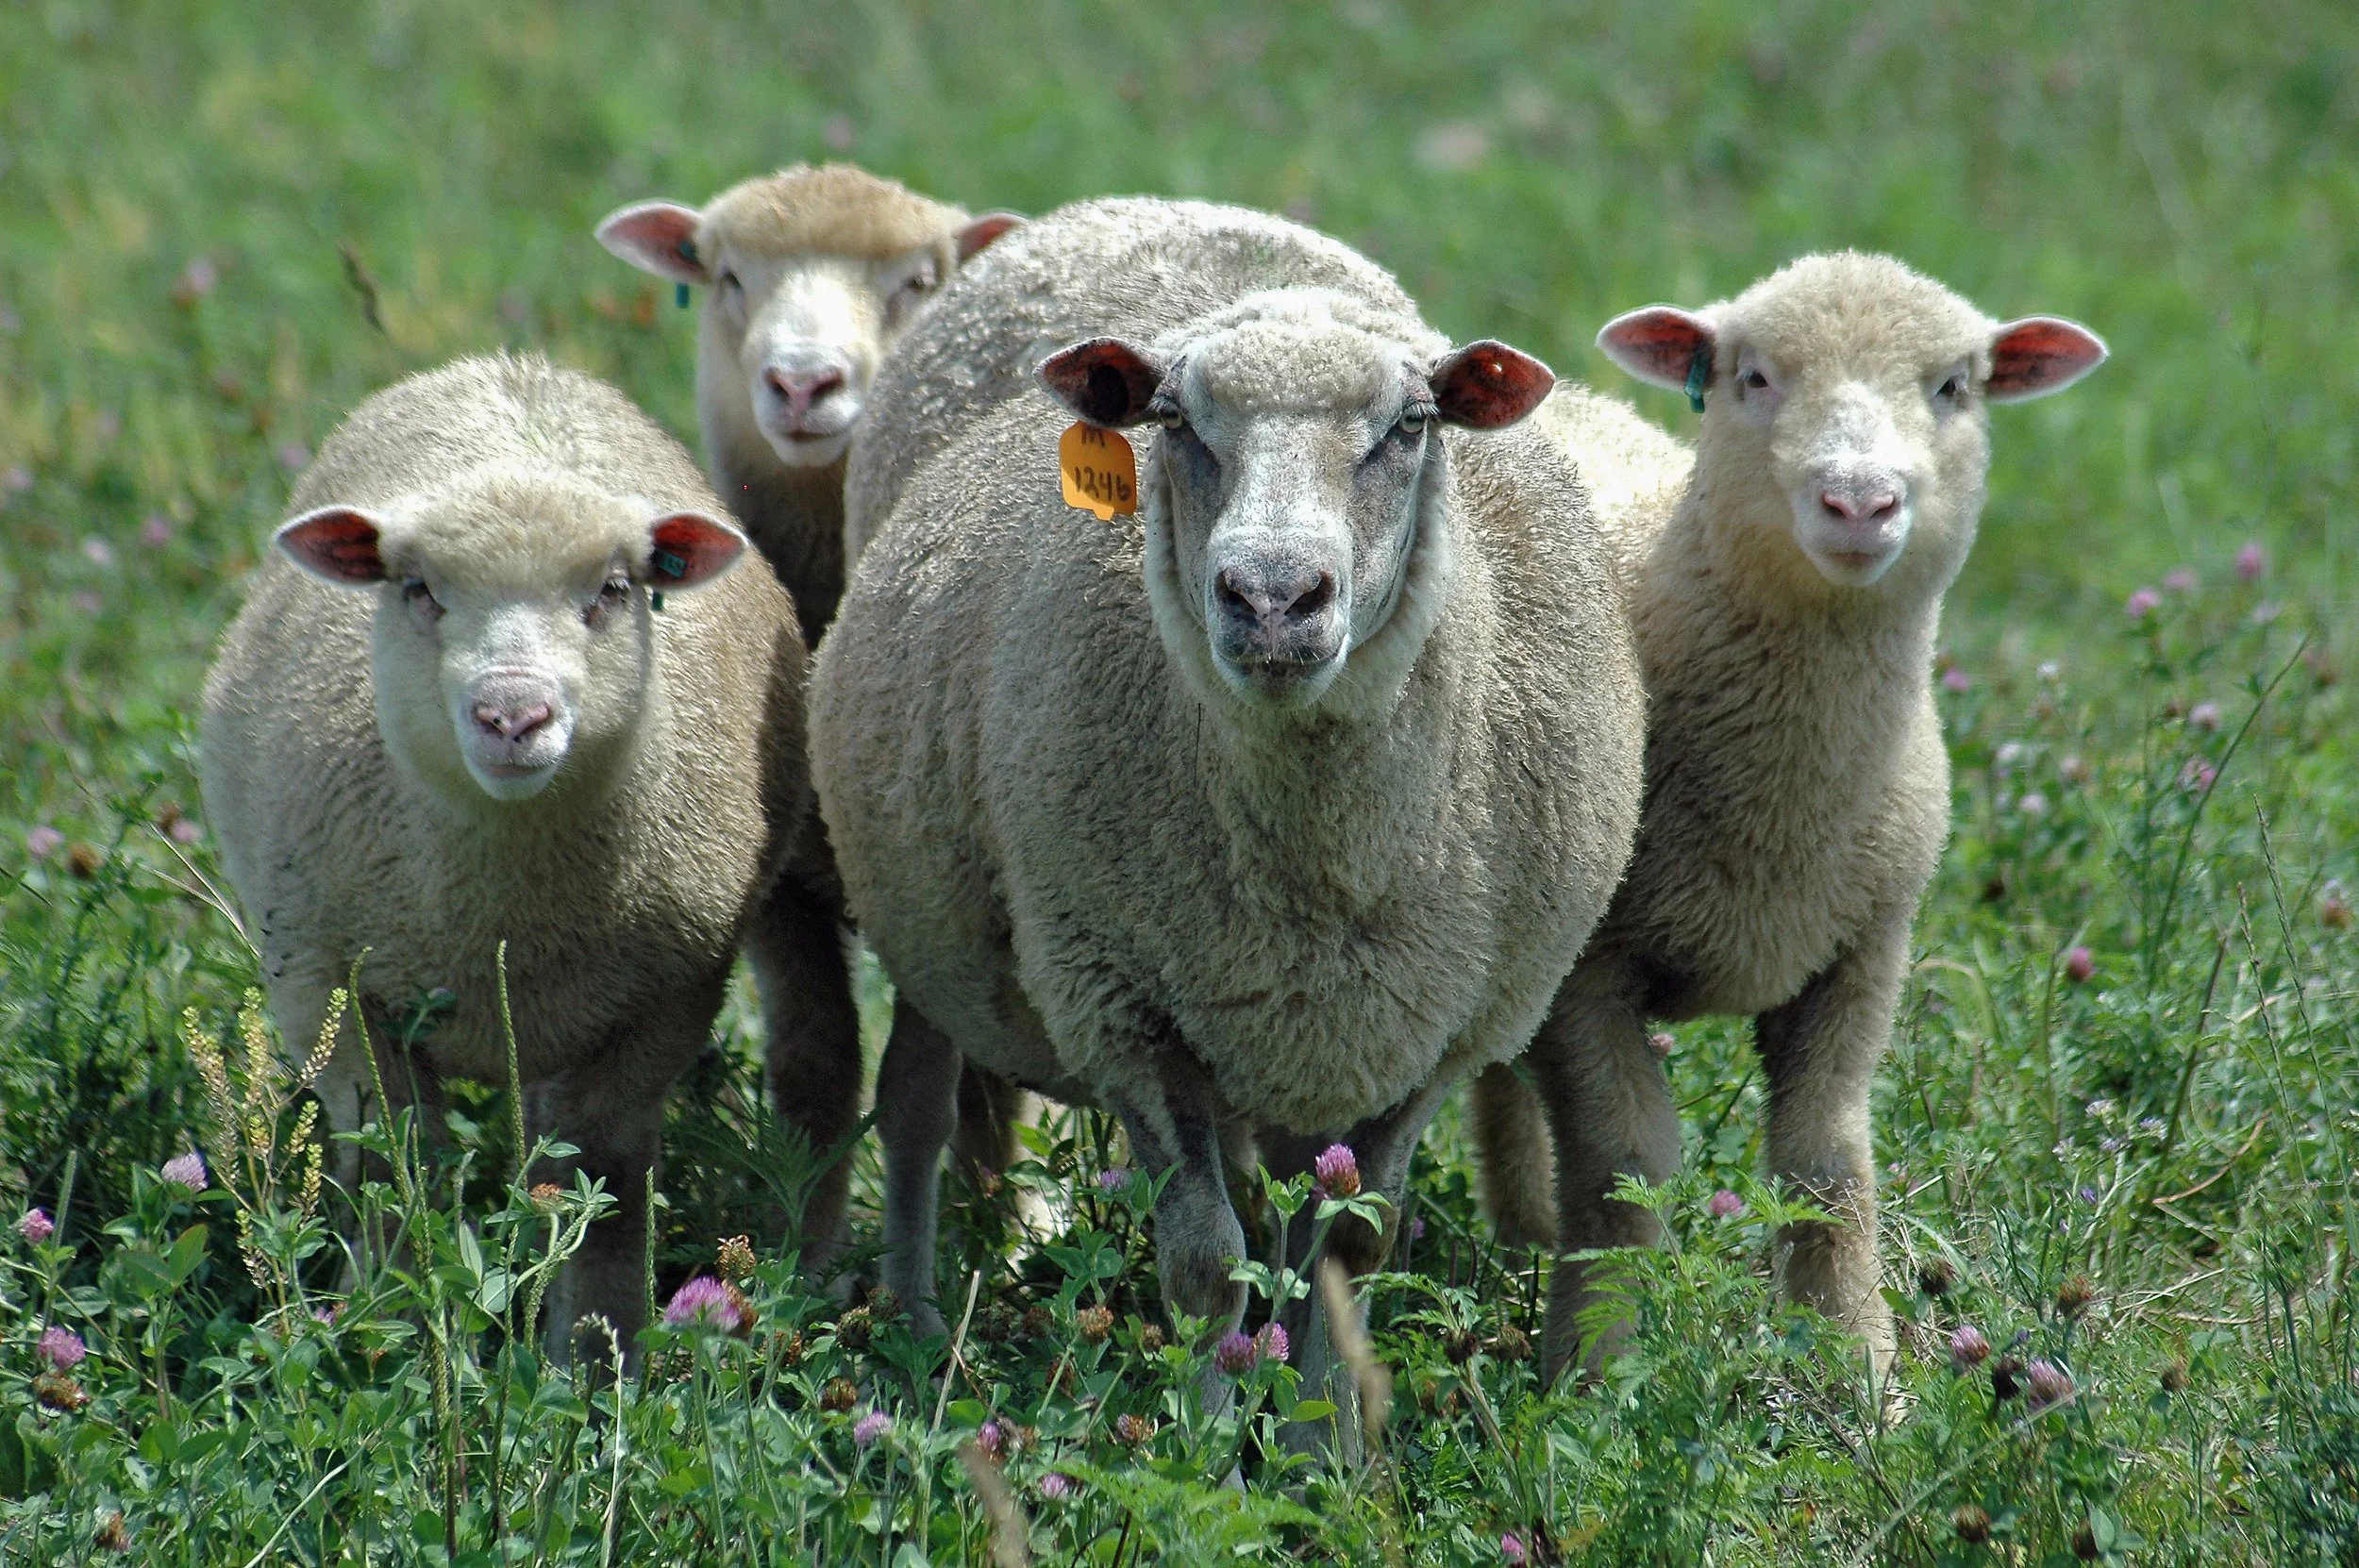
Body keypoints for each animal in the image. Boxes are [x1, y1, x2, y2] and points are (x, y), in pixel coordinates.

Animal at [199, 352, 849, 1357]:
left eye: (614, 590)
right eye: (417, 589)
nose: (512, 715)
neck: (505, 909)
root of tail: (506, 367)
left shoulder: (668, 995)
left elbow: (606, 1174)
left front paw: (595, 1356)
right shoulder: (326, 984)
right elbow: (401, 1164)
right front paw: (394, 1330)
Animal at [811, 198, 1645, 1365]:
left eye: (1411, 424)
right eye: (1173, 422)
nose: (1272, 596)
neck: (1323, 863)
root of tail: (1144, 206)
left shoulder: (1436, 1031)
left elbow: (1346, 1249)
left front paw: (1322, 1418)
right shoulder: (1123, 1006)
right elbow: (1208, 1266)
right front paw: (1208, 1415)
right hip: (926, 902)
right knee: (916, 1103)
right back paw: (919, 1322)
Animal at [1469, 251, 2107, 1378]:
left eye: (1954, 386)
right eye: (1752, 377)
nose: (1858, 501)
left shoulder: (1861, 948)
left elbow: (1826, 1164)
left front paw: (1857, 1377)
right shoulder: (1588, 970)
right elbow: (1622, 1164)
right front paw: (1595, 1369)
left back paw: (1523, 1237)